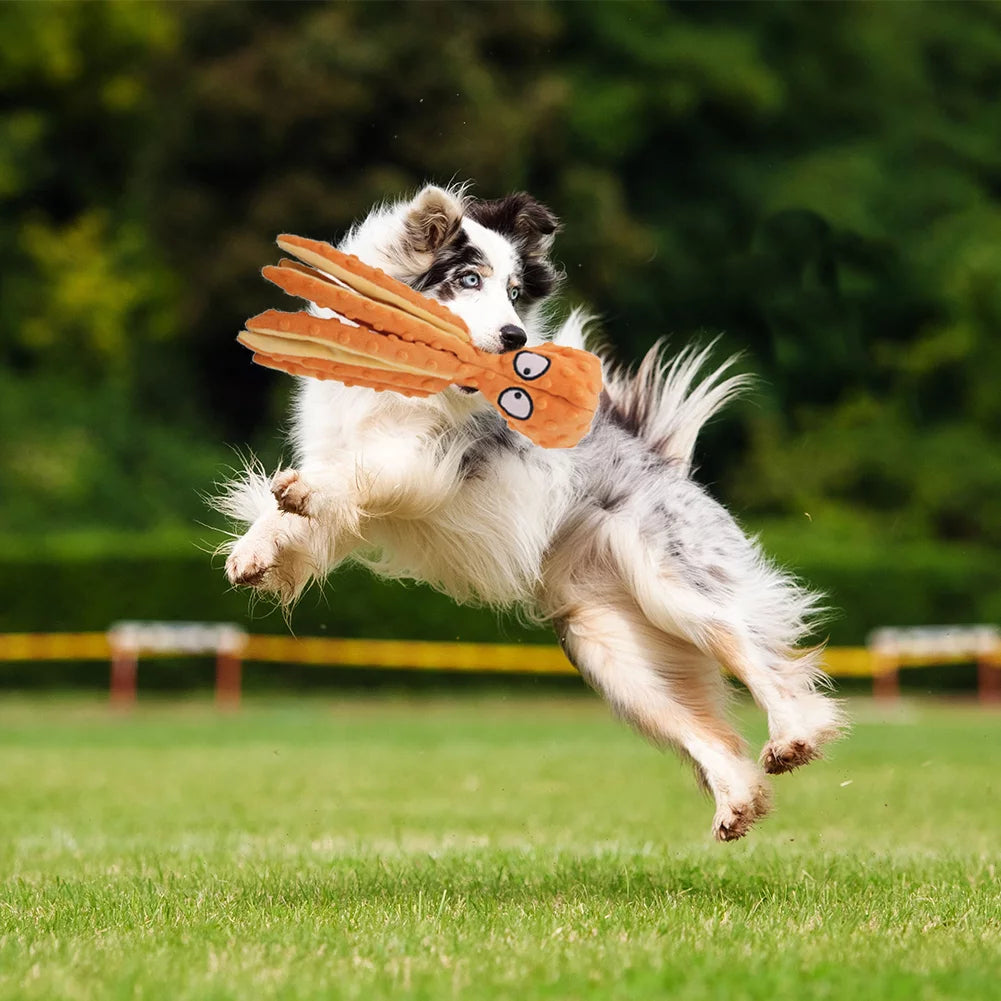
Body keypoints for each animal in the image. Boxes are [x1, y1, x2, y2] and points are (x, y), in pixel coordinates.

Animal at [219, 184, 844, 840]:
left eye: (516, 292)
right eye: (469, 280)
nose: (516, 337)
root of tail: (660, 460)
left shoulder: (428, 461)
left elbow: (360, 472)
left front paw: (300, 495)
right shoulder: (342, 461)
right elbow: (298, 513)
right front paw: (253, 551)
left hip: (674, 582)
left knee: (753, 649)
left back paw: (794, 736)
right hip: (610, 649)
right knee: (700, 728)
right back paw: (736, 802)